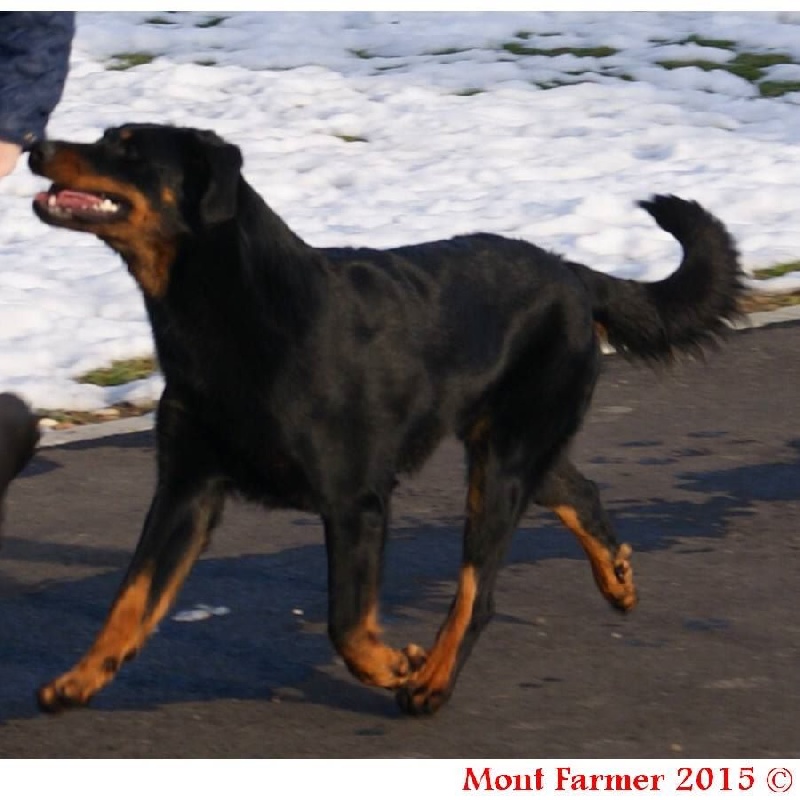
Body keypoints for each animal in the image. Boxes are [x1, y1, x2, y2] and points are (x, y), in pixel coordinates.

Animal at [28, 124, 744, 715]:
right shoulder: (187, 489)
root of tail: (574, 274)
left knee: (477, 592)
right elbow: (131, 598)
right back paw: (616, 578)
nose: (35, 145)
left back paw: (432, 682)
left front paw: (394, 665)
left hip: (502, 467)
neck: (227, 318)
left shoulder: (356, 500)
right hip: (514, 449)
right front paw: (79, 679)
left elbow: (345, 622)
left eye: (126, 148)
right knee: (580, 492)